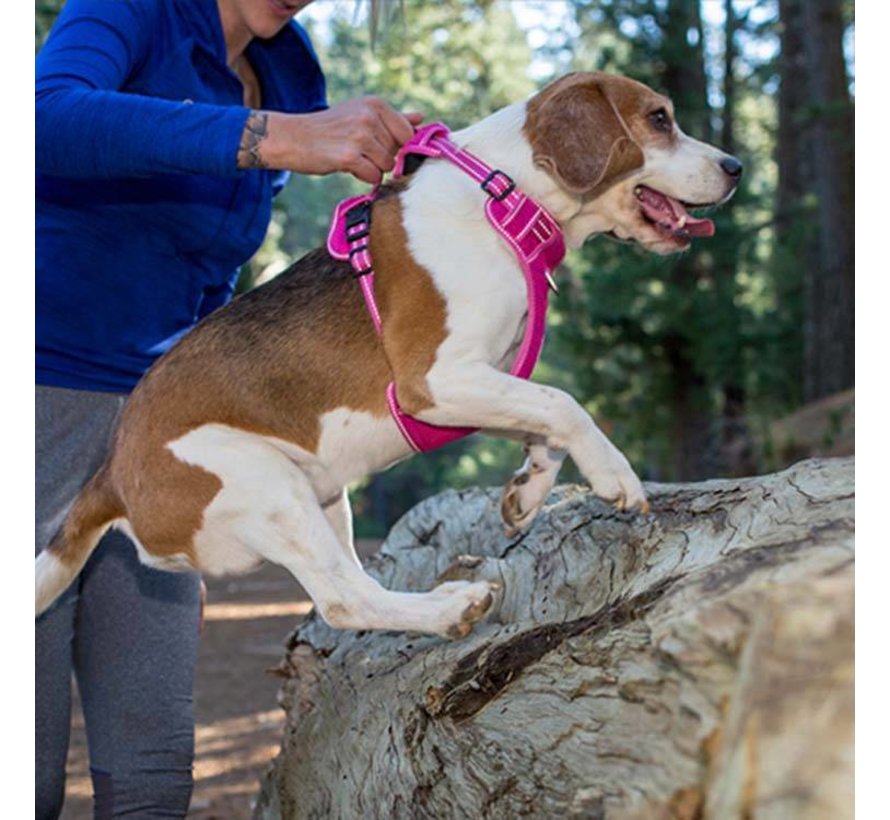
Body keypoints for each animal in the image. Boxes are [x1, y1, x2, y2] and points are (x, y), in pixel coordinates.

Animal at [34, 73, 740, 640]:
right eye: (659, 119)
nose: (735, 166)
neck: (503, 199)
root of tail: (111, 474)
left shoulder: (480, 381)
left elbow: (543, 416)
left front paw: (530, 489)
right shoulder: (434, 379)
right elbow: (564, 403)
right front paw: (613, 473)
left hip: (322, 498)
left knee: (350, 592)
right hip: (266, 486)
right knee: (345, 602)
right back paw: (449, 609)